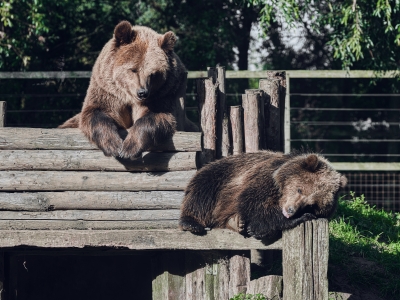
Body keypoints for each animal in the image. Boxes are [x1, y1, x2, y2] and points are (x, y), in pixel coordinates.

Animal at [59, 19, 197, 158]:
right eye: (133, 69)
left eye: (153, 74)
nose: (142, 92)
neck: (129, 97)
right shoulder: (108, 91)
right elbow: (96, 112)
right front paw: (114, 145)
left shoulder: (163, 93)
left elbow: (157, 116)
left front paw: (128, 148)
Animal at [179, 151, 346, 240]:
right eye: (300, 189)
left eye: (311, 204)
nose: (291, 210)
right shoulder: (265, 178)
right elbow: (252, 203)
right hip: (222, 174)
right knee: (202, 190)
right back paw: (191, 223)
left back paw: (236, 222)